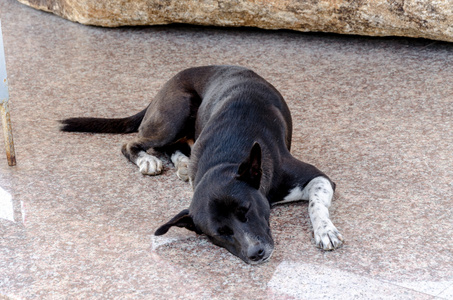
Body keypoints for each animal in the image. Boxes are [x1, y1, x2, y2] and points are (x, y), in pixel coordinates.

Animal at [61, 65, 342, 262]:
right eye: (220, 233)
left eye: (247, 209)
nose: (257, 253)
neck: (225, 160)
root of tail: (163, 87)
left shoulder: (317, 177)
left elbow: (316, 204)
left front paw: (325, 231)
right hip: (174, 116)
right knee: (134, 144)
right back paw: (152, 161)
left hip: (178, 112)